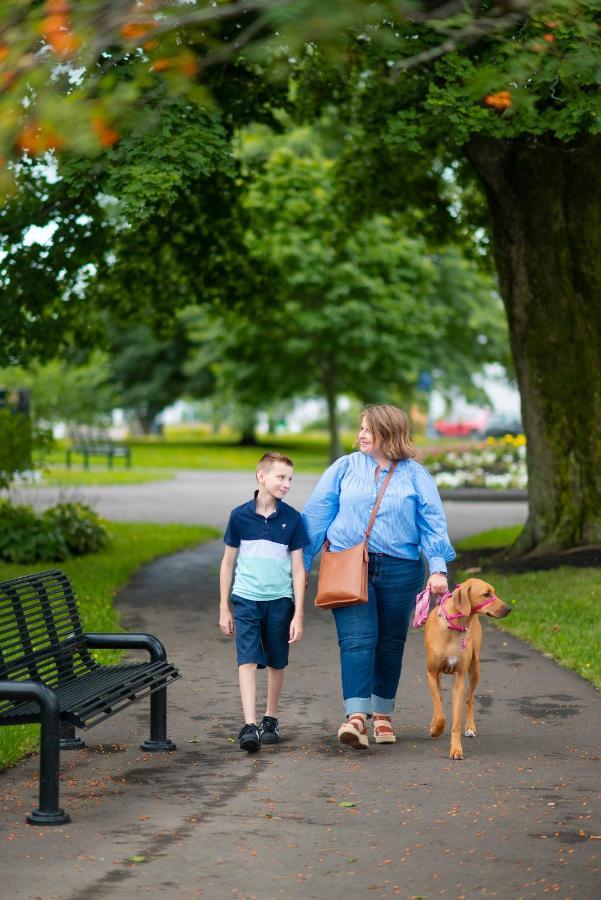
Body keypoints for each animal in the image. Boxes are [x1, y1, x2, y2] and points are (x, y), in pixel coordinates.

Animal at [422, 576, 510, 760]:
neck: (454, 626)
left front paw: (456, 749)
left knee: (470, 699)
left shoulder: (460, 678)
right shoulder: (432, 673)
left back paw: (470, 727)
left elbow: (455, 719)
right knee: (438, 701)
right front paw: (436, 728)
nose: (509, 609)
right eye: (486, 594)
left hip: (475, 669)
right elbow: (440, 710)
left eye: (494, 592)